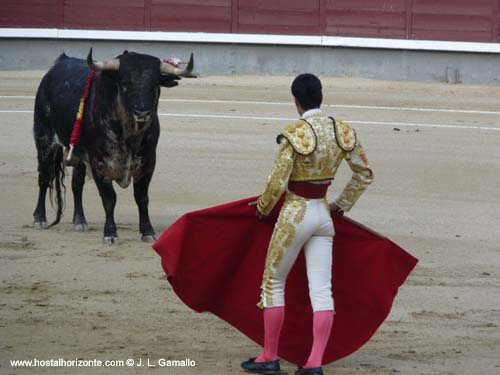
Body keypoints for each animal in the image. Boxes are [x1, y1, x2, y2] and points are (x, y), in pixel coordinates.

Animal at [32, 49, 194, 244]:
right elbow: (109, 198)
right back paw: (40, 218)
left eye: (155, 84)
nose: (142, 113)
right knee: (44, 178)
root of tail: (60, 63)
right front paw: (110, 233)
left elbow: (142, 198)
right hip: (44, 140)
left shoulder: (148, 162)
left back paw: (80, 221)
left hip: (78, 155)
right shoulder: (98, 162)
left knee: (77, 184)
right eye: (124, 83)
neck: (130, 134)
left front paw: (147, 232)